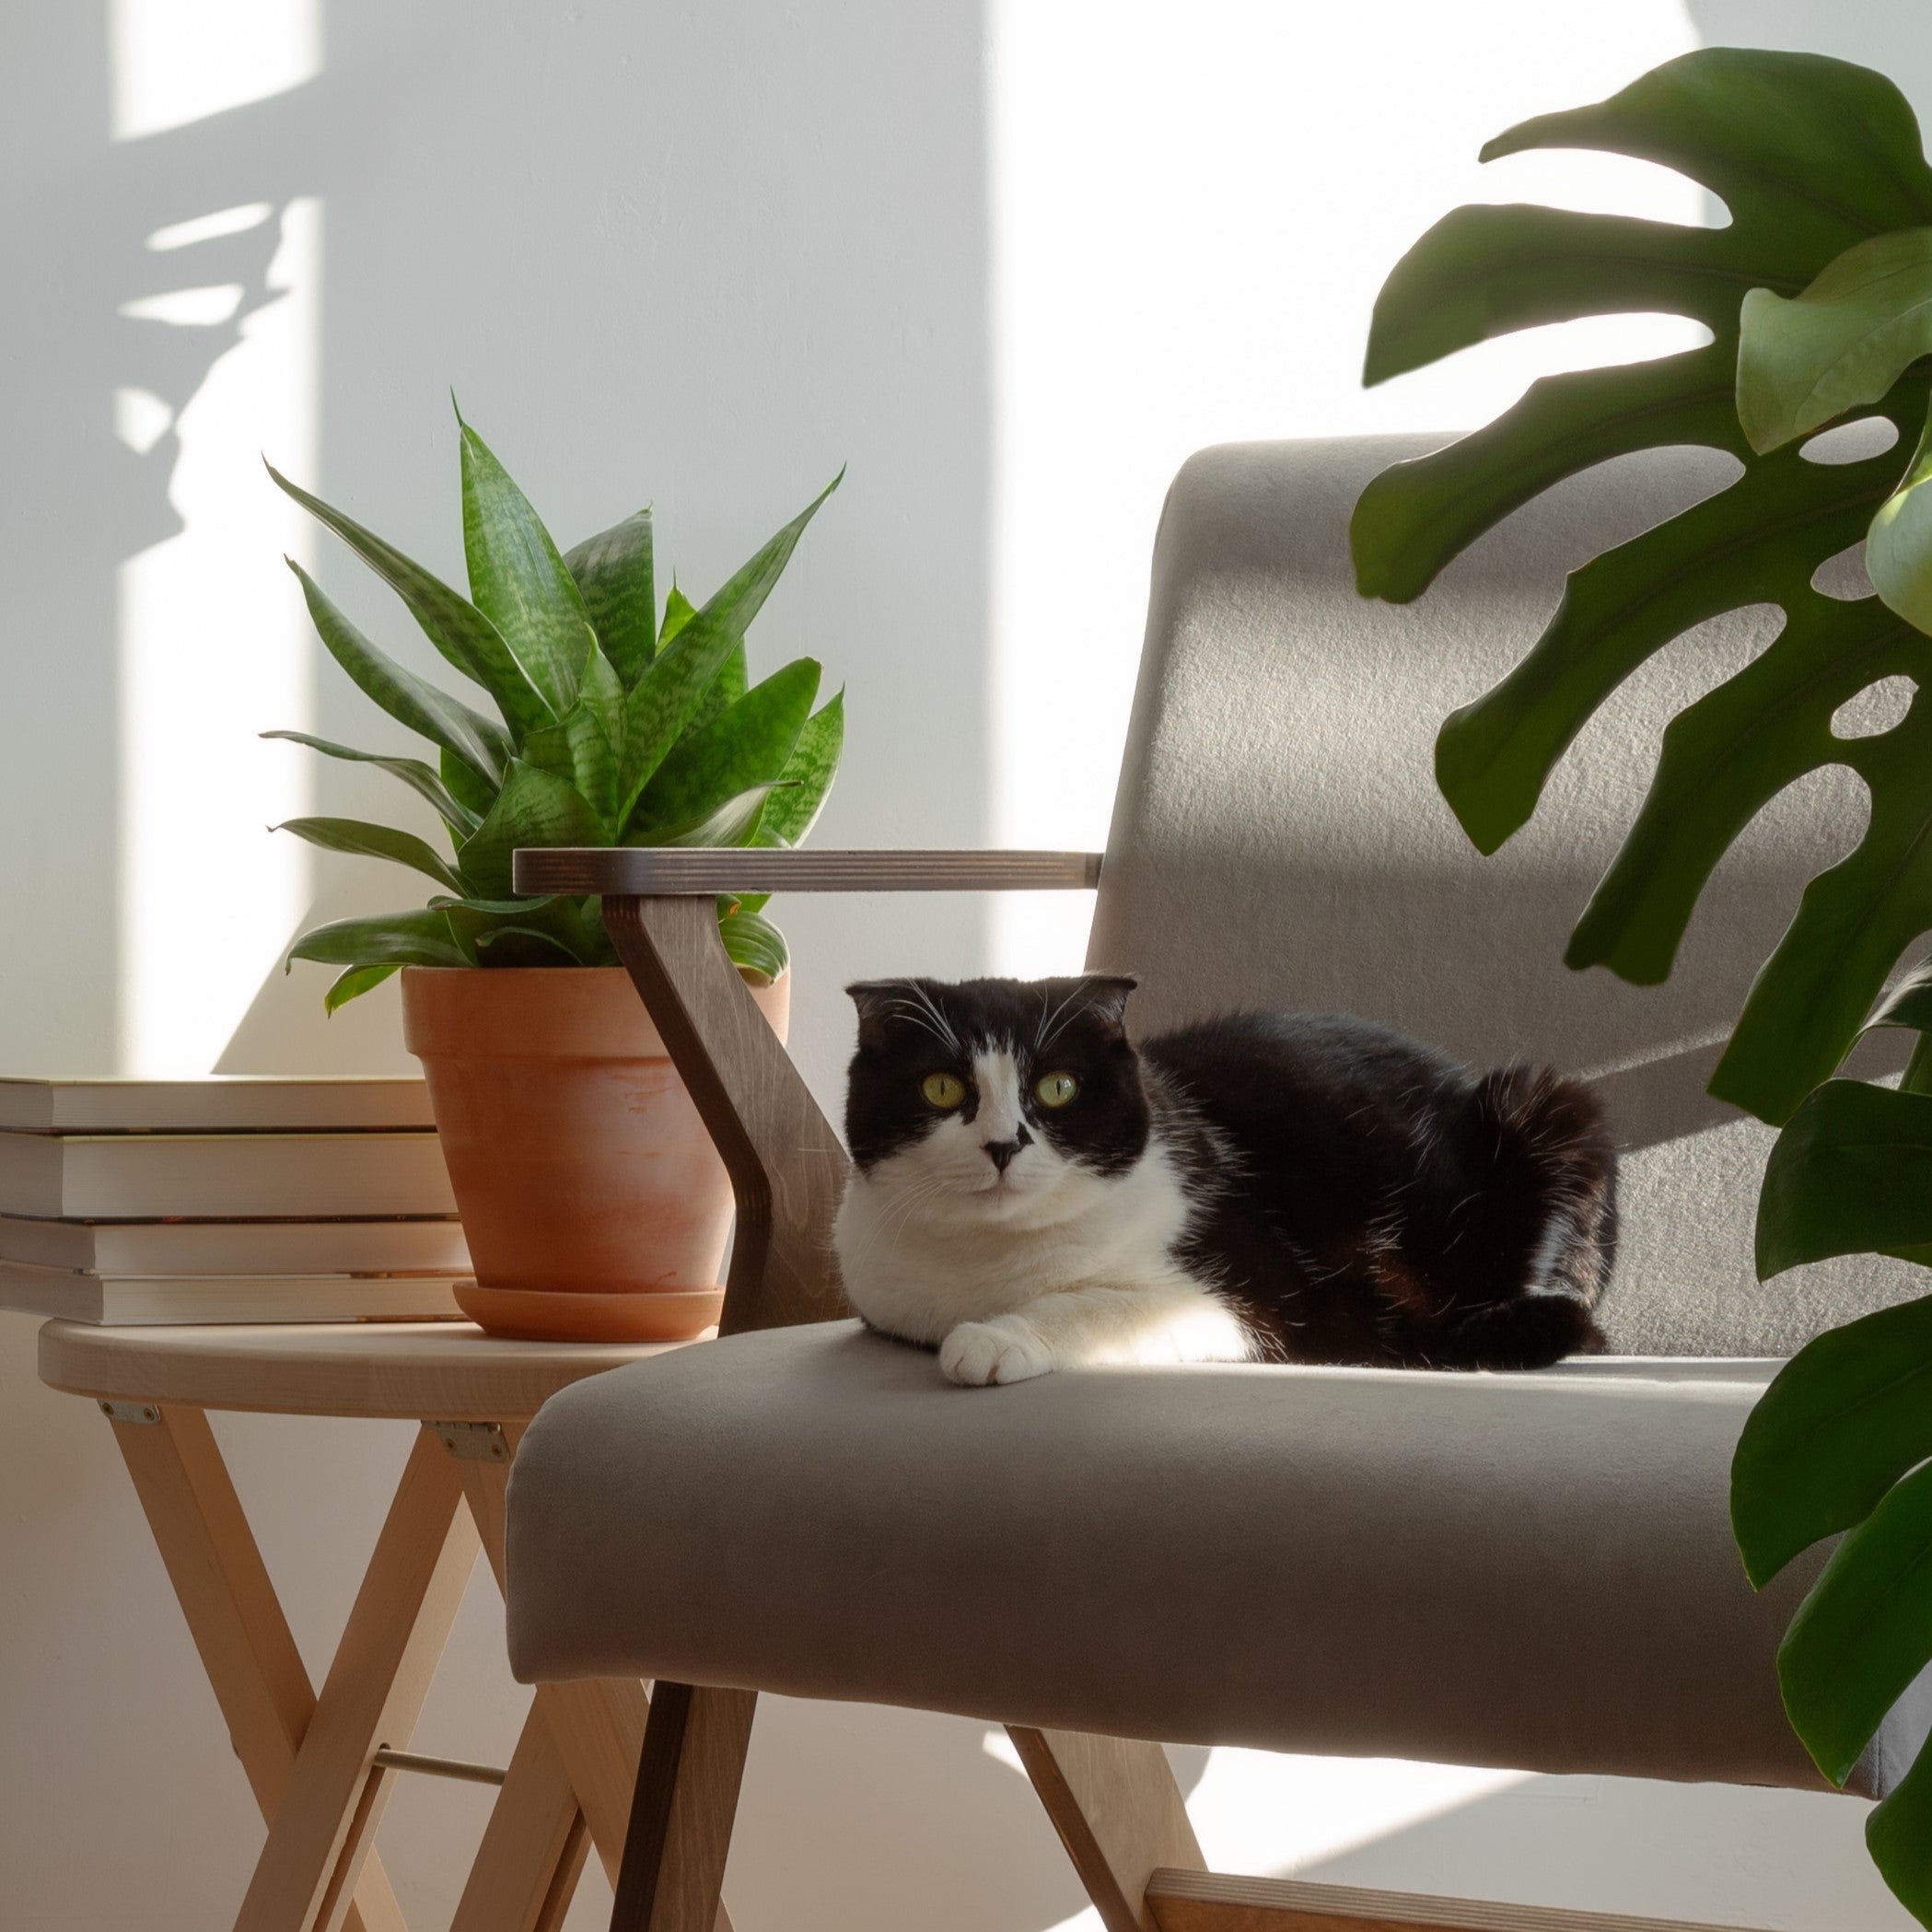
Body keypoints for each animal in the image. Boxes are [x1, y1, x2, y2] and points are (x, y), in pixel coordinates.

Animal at [831, 981, 1614, 1391]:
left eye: (1057, 1088)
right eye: (940, 1087)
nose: (1001, 1145)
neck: (992, 1263)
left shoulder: (1255, 1301)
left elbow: (1101, 1307)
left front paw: (996, 1338)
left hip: (1553, 1108)